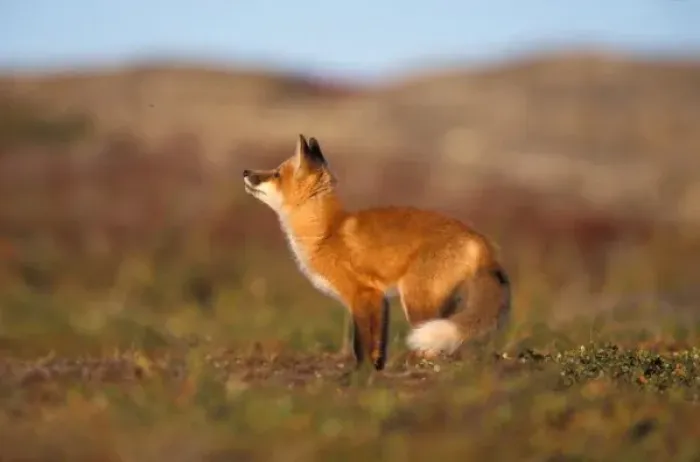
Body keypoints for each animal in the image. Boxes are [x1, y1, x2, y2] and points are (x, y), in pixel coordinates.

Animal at [242, 134, 511, 371]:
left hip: (416, 301)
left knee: (431, 349)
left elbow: (361, 344)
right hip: (439, 304)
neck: (326, 234)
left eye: (276, 174)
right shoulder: (379, 299)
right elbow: (377, 346)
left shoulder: (362, 294)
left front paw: (359, 374)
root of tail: (479, 239)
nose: (245, 172)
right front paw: (375, 371)